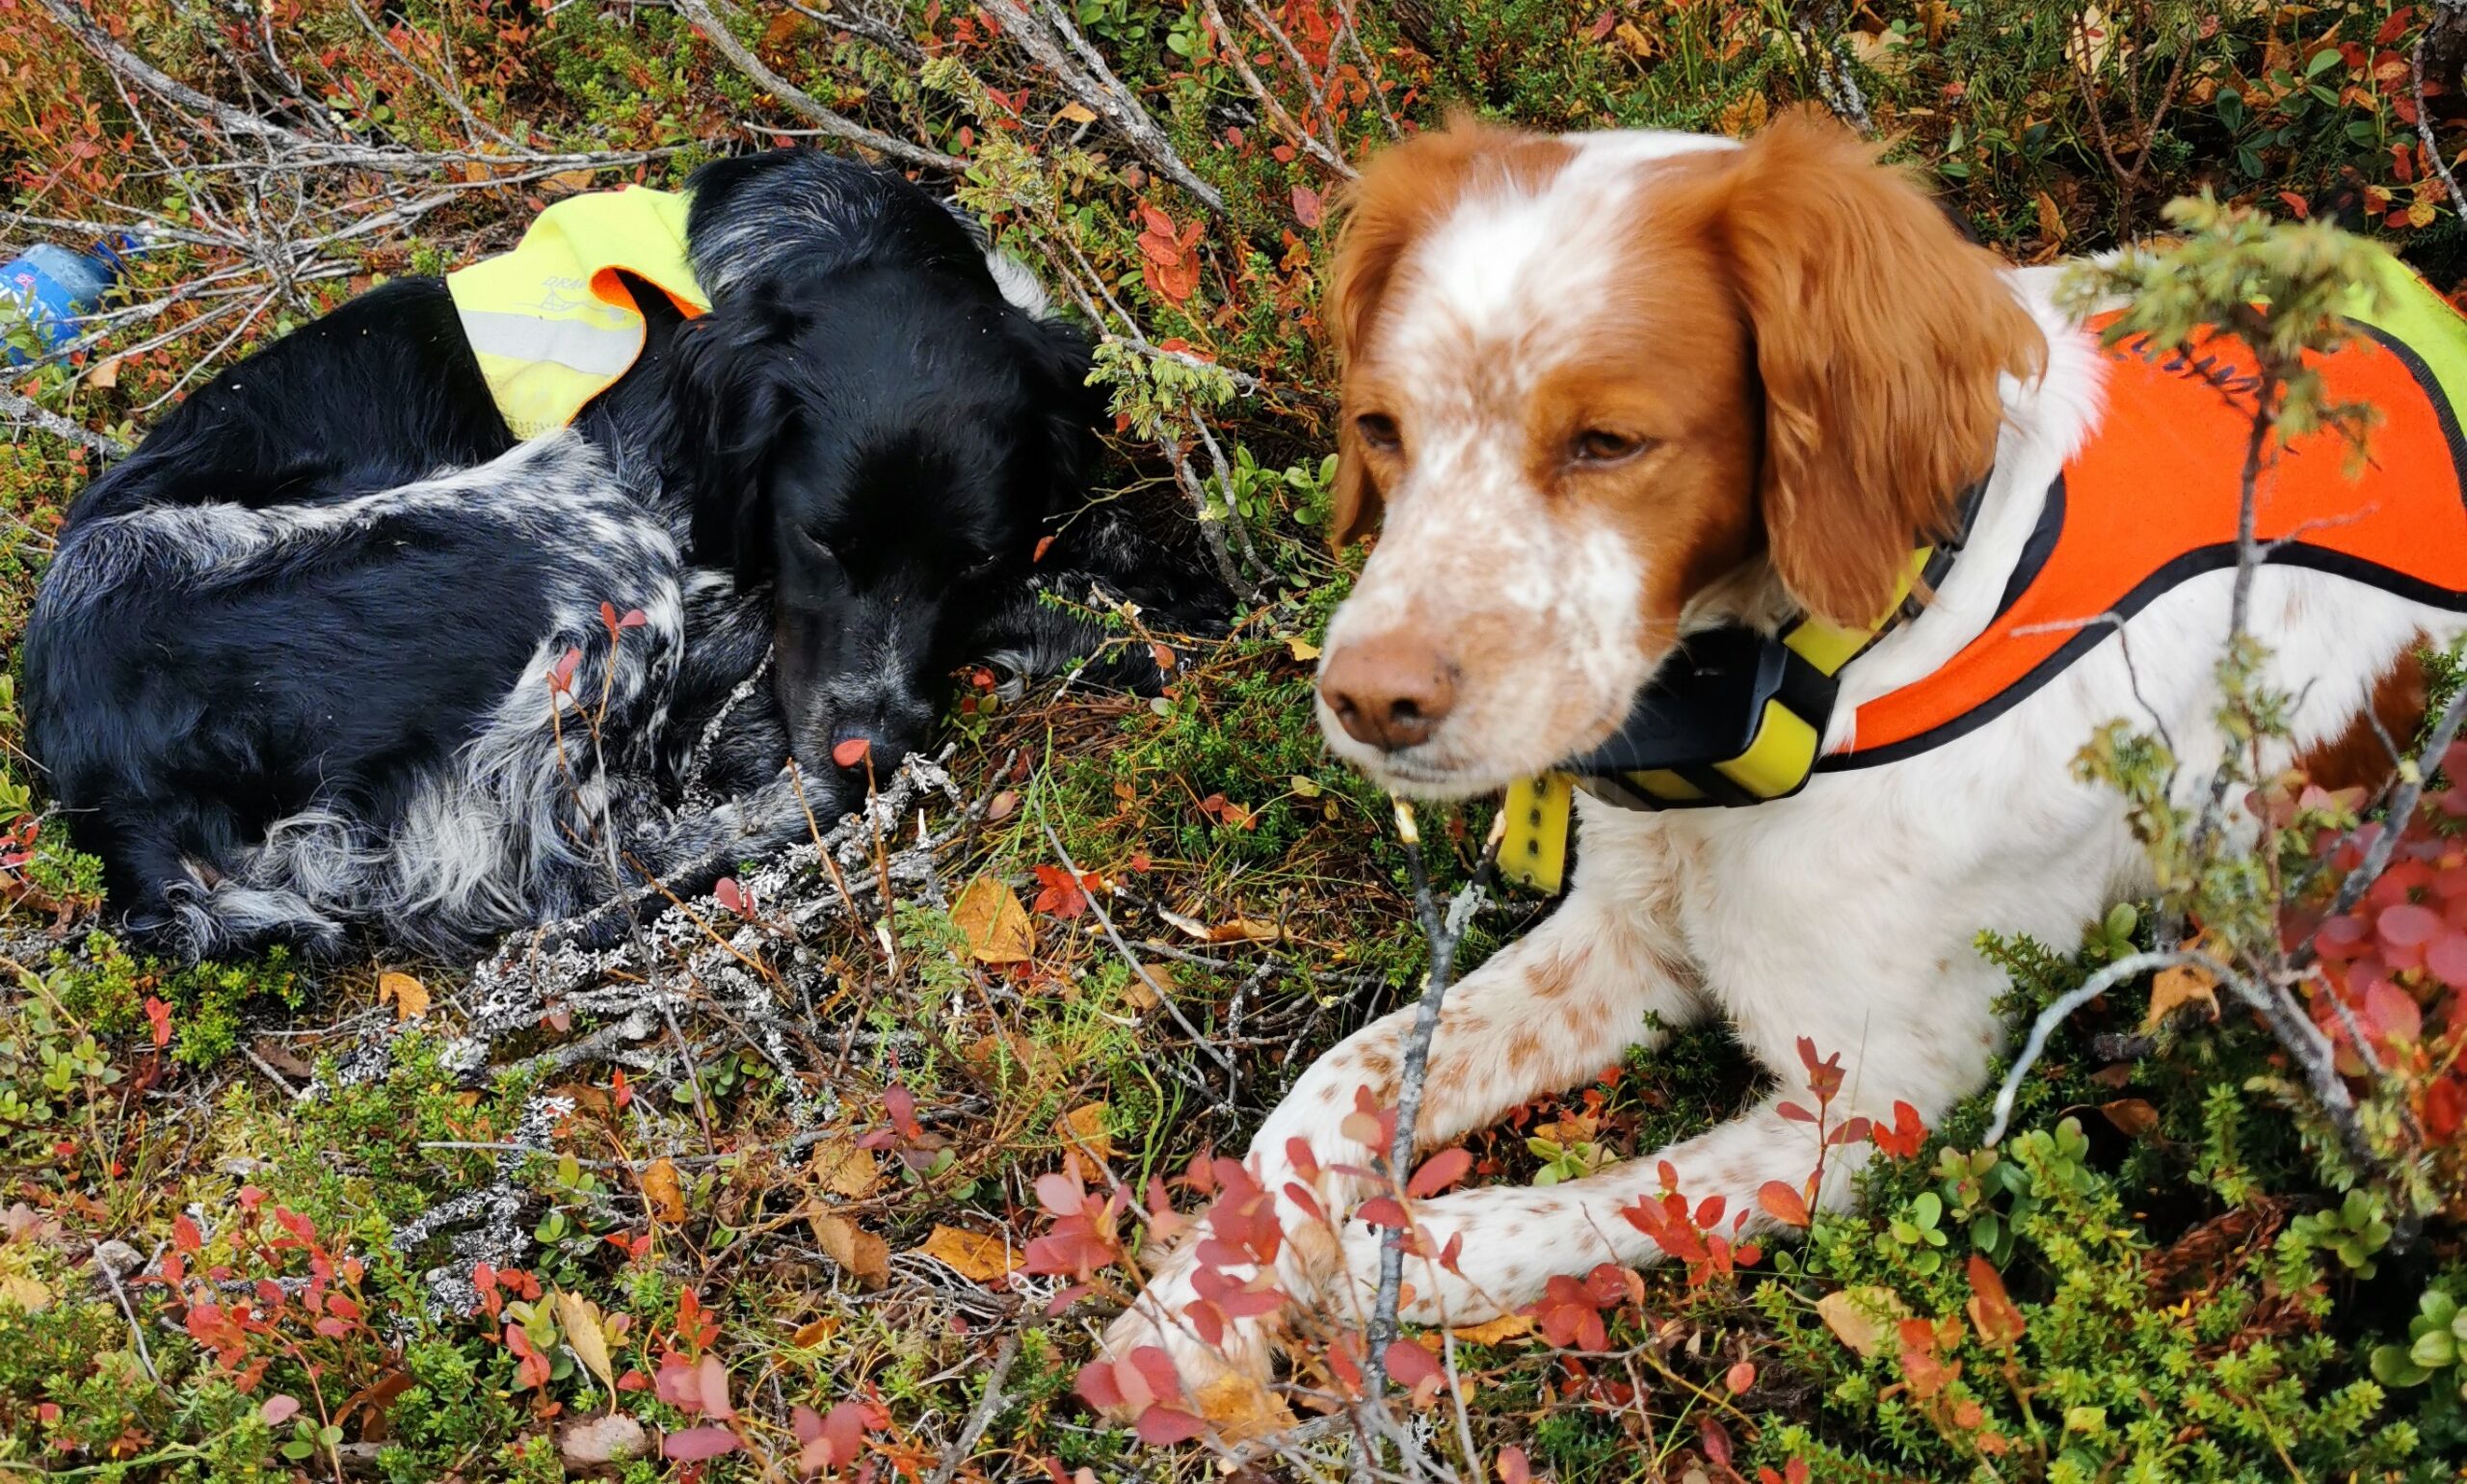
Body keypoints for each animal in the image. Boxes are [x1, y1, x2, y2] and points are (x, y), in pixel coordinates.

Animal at [19, 150, 1213, 961]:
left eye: (965, 557)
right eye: (818, 539)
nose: (867, 747)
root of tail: (87, 781)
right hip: (580, 528)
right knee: (588, 880)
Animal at [1110, 113, 2456, 1390]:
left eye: (1607, 442)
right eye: (1382, 428)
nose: (1365, 700)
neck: (1792, 693)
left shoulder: (1882, 1096)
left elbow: (1617, 1198)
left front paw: (1394, 1258)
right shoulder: (1620, 934)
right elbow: (1336, 1077)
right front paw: (1187, 1314)